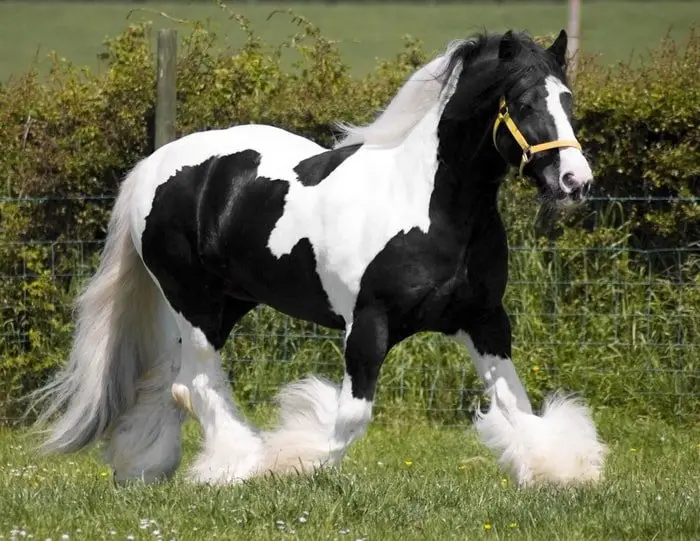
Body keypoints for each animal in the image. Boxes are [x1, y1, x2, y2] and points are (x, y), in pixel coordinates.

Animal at [35, 28, 608, 486]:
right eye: (526, 103)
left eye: (568, 101)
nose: (575, 182)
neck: (430, 208)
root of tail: (152, 167)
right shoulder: (368, 326)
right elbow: (350, 418)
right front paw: (286, 461)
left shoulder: (484, 320)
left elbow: (518, 406)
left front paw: (560, 470)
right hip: (192, 302)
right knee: (196, 383)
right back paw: (233, 466)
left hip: (228, 303)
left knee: (171, 383)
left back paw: (145, 466)